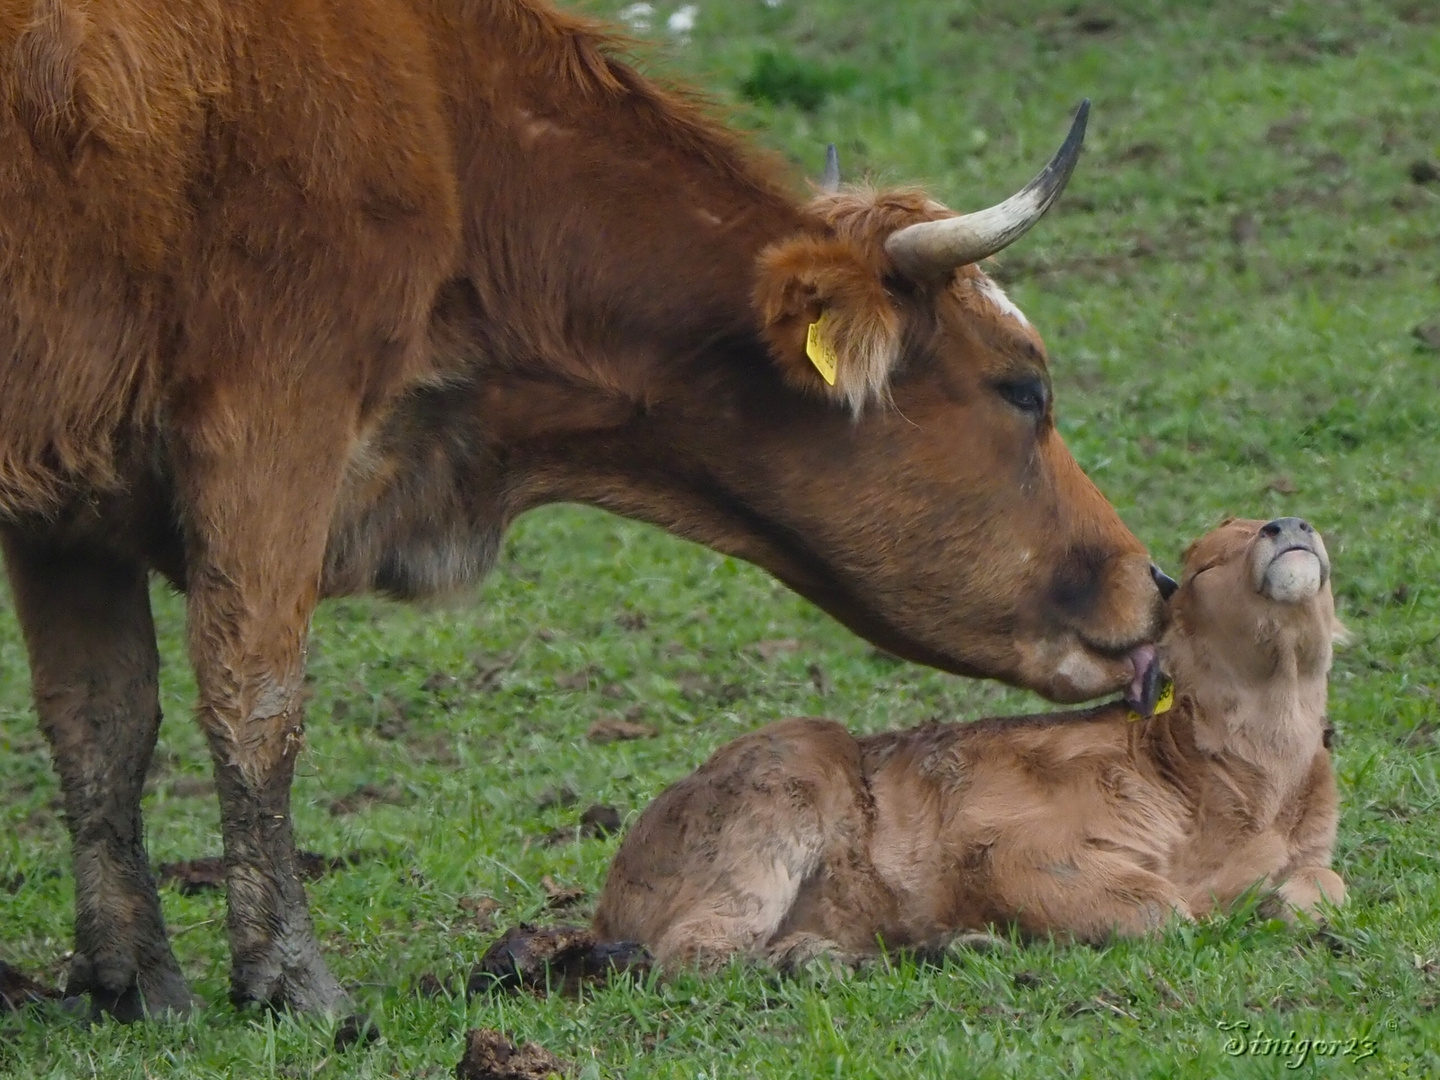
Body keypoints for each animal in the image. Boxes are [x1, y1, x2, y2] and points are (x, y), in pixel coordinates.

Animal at [0, 0, 1163, 1019]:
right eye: (1024, 386)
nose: (1152, 580)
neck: (451, 132)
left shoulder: (70, 509)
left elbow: (102, 725)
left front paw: (132, 980)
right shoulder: (273, 428)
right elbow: (256, 705)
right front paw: (290, 978)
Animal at [590, 518, 1342, 973]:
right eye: (1207, 563)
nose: (1289, 526)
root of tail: (613, 893)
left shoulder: (1308, 850)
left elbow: (1327, 887)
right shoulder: (1012, 849)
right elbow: (1168, 911)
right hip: (774, 795)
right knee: (693, 951)